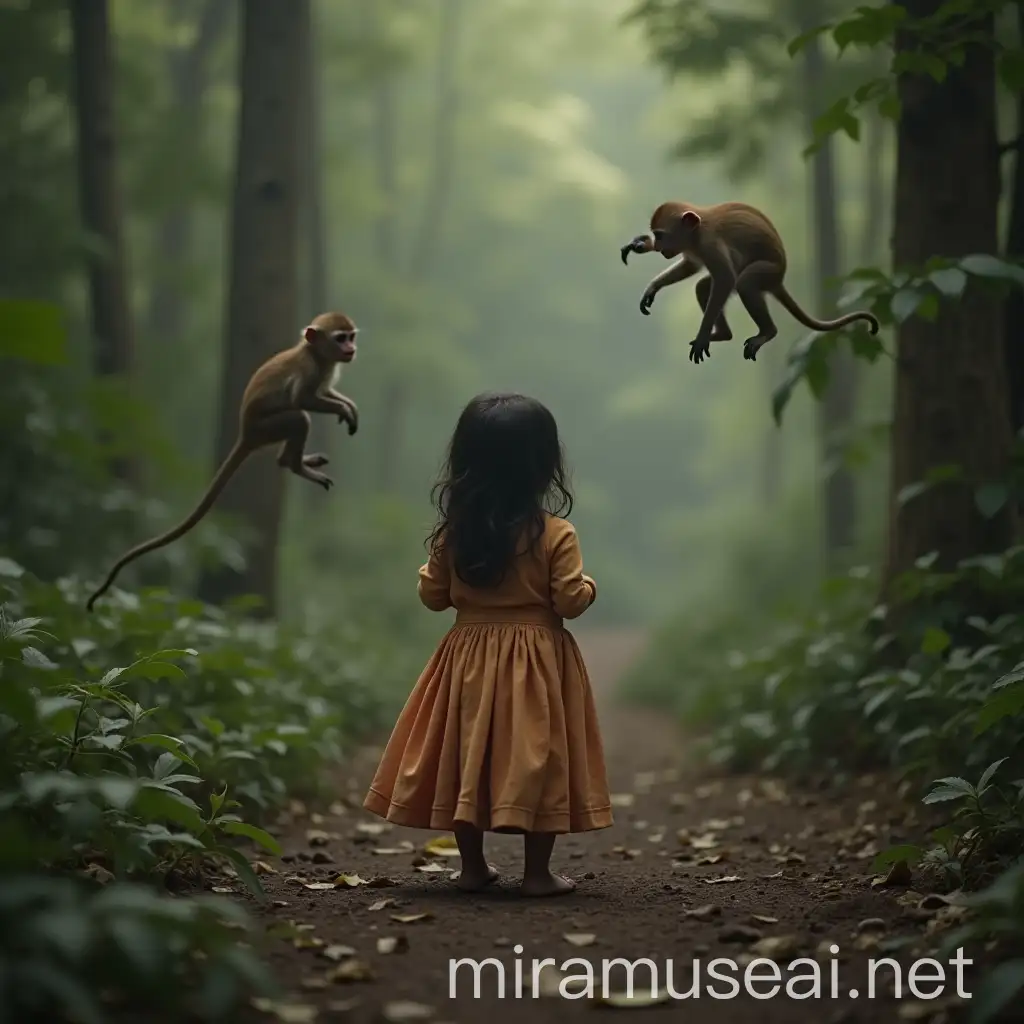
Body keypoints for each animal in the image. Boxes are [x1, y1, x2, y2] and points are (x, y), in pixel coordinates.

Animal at [86, 311, 362, 606]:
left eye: (350, 336)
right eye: (340, 338)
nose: (351, 348)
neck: (316, 354)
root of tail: (245, 432)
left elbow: (325, 393)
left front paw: (349, 407)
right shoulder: (309, 370)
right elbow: (304, 399)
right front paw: (342, 409)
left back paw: (291, 461)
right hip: (265, 429)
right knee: (298, 418)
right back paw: (295, 464)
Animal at [614, 199, 880, 364]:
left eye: (661, 235)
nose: (658, 247)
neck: (697, 231)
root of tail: (779, 278)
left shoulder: (709, 243)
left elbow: (725, 278)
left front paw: (702, 337)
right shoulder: (693, 247)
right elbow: (692, 267)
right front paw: (652, 285)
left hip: (768, 272)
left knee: (744, 282)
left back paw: (766, 332)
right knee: (704, 286)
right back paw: (723, 334)